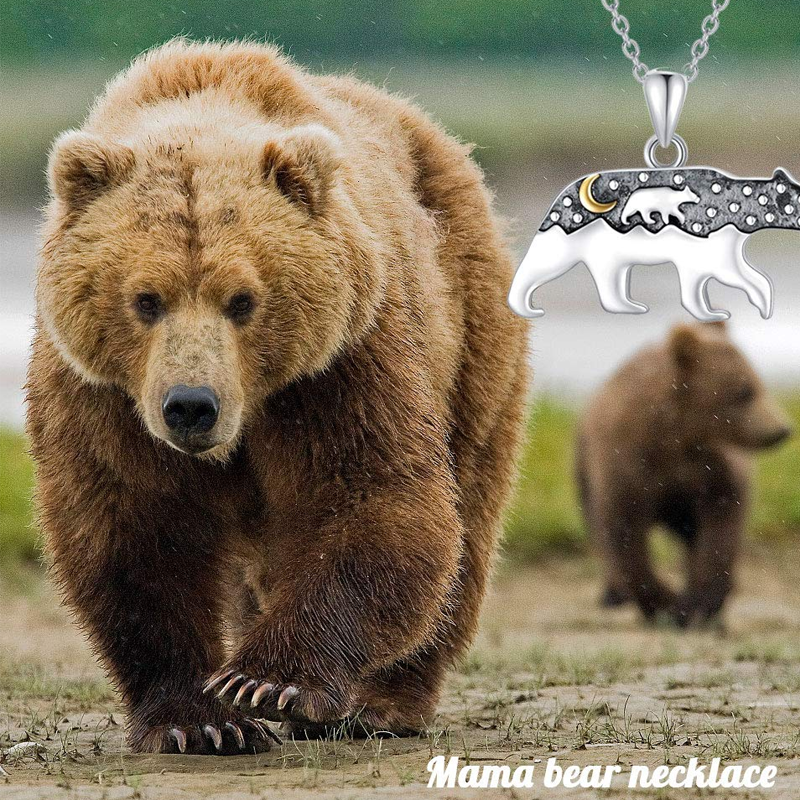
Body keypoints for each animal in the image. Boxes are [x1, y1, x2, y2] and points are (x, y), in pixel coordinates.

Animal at [27, 39, 529, 755]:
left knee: (468, 514)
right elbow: (131, 527)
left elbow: (371, 499)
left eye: (242, 299)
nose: (191, 404)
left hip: (470, 331)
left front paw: (268, 683)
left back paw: (380, 704)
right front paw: (198, 719)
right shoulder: (103, 398)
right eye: (146, 299)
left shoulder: (340, 364)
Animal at [576, 322, 791, 627]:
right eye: (744, 390)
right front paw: (666, 605)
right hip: (583, 465)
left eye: (758, 381)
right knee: (596, 527)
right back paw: (613, 594)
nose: (782, 429)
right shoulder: (629, 461)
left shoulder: (710, 469)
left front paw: (698, 605)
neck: (679, 435)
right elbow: (625, 530)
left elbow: (720, 529)